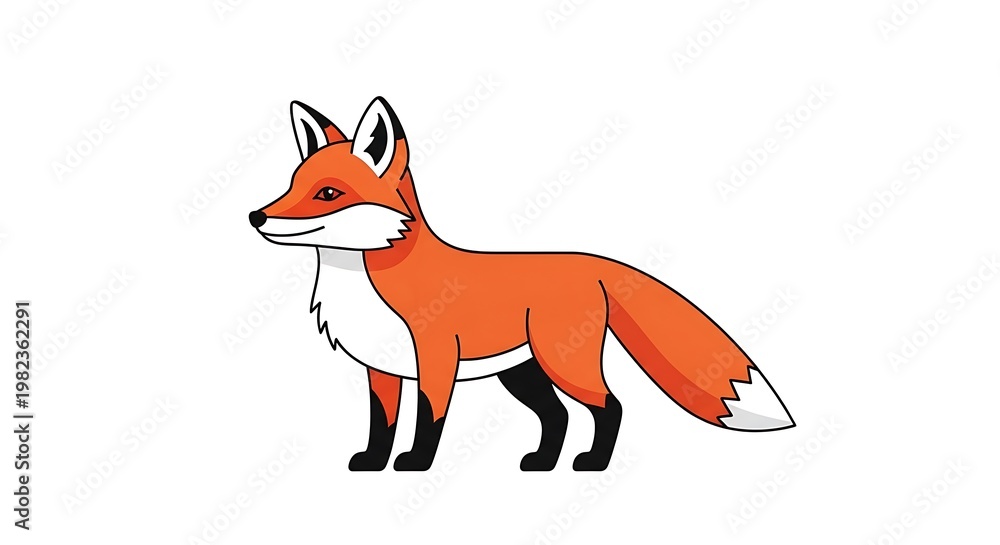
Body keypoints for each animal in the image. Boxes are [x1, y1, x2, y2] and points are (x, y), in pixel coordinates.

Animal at [250, 97, 794, 472]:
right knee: (558, 417)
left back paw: (591, 464)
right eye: (292, 184)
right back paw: (542, 463)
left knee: (610, 406)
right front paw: (371, 462)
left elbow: (428, 421)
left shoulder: (435, 361)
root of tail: (595, 262)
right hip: (522, 373)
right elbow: (380, 425)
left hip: (562, 363)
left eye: (328, 194)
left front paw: (417, 464)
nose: (256, 216)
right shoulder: (380, 370)